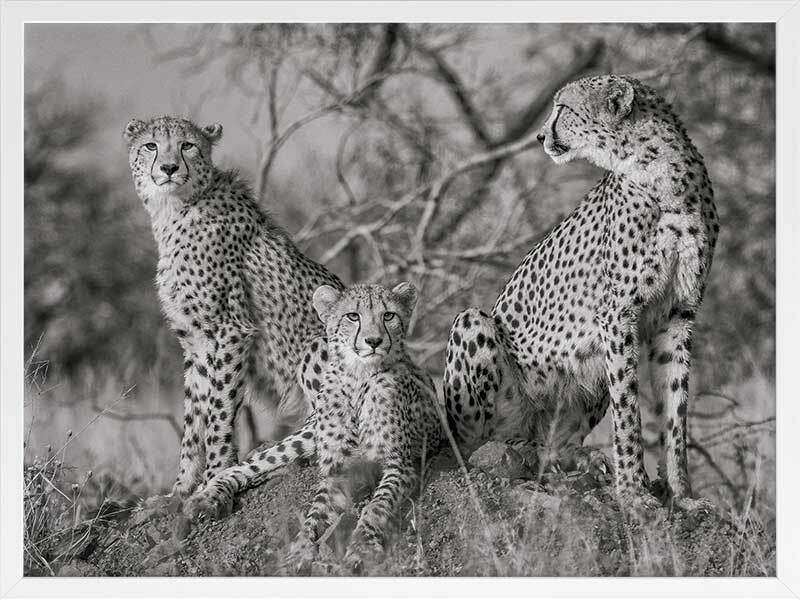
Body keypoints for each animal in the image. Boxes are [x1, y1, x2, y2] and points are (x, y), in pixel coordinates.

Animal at [124, 115, 343, 500]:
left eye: (187, 145)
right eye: (151, 145)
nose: (169, 168)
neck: (175, 208)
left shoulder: (230, 331)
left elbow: (219, 411)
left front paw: (213, 477)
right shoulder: (195, 342)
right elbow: (193, 418)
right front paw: (179, 491)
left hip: (318, 344)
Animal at [185, 282, 442, 573]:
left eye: (388, 316)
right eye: (353, 316)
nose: (374, 341)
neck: (358, 378)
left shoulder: (400, 463)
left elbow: (377, 505)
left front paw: (362, 546)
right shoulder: (336, 472)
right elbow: (314, 514)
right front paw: (300, 550)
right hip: (305, 436)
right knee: (245, 466)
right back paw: (208, 498)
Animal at [442, 74, 719, 514]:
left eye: (563, 108)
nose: (540, 136)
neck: (664, 176)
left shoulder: (678, 315)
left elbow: (676, 412)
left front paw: (682, 495)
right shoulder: (617, 314)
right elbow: (629, 412)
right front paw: (633, 491)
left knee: (552, 444)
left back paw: (572, 457)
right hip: (475, 328)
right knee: (473, 446)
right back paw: (510, 452)